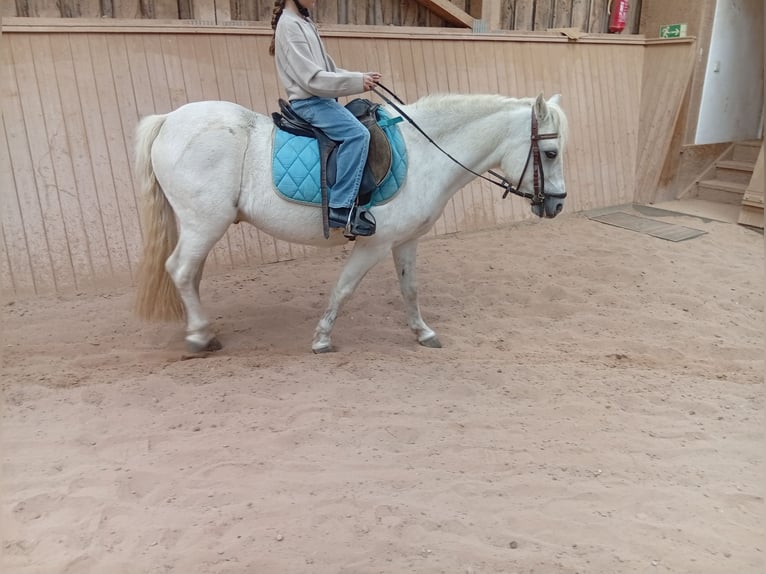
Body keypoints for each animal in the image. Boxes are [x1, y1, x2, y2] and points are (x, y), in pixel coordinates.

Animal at [133, 92, 569, 353]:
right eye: (550, 153)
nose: (558, 205)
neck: (425, 153)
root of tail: (169, 119)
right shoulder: (373, 243)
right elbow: (343, 289)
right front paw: (322, 339)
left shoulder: (405, 241)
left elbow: (410, 289)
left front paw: (423, 332)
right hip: (205, 223)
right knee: (181, 269)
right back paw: (200, 336)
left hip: (201, 227)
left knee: (190, 273)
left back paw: (201, 327)